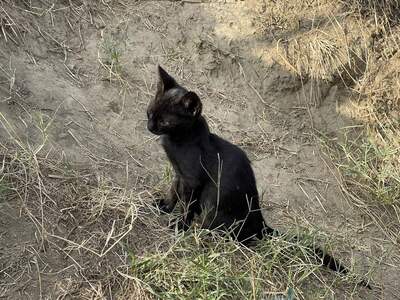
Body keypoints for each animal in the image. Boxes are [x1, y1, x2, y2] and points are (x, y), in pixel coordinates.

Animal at [147, 65, 372, 286]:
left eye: (165, 122)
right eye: (149, 112)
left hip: (213, 207)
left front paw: (180, 225)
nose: (149, 126)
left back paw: (203, 233)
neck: (182, 141)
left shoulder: (193, 180)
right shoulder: (179, 174)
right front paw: (165, 206)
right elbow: (173, 192)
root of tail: (260, 223)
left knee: (230, 235)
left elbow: (187, 205)